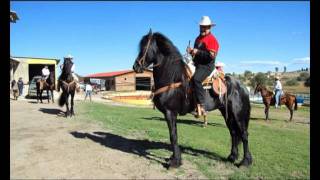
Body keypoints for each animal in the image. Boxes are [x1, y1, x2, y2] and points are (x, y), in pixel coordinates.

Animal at [132, 29, 252, 169]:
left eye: (145, 47)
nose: (136, 66)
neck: (173, 78)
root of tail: (243, 86)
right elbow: (174, 135)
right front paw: (174, 158)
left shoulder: (170, 112)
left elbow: (173, 136)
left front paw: (175, 162)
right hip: (227, 113)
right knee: (233, 133)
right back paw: (232, 157)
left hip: (238, 114)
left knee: (244, 134)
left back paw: (245, 162)